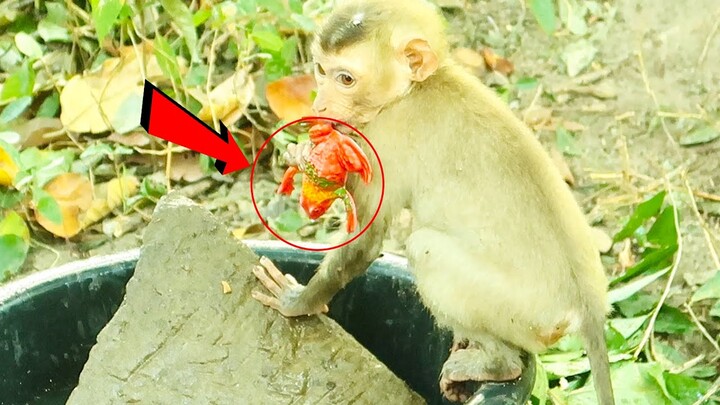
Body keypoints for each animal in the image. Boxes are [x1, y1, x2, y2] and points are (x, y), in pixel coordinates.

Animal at [250, 1, 616, 402]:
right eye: (320, 70)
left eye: (345, 79)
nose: (321, 105)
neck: (414, 88)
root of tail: (588, 307)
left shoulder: (384, 138)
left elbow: (365, 240)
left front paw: (298, 303)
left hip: (527, 313)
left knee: (425, 248)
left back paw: (499, 365)